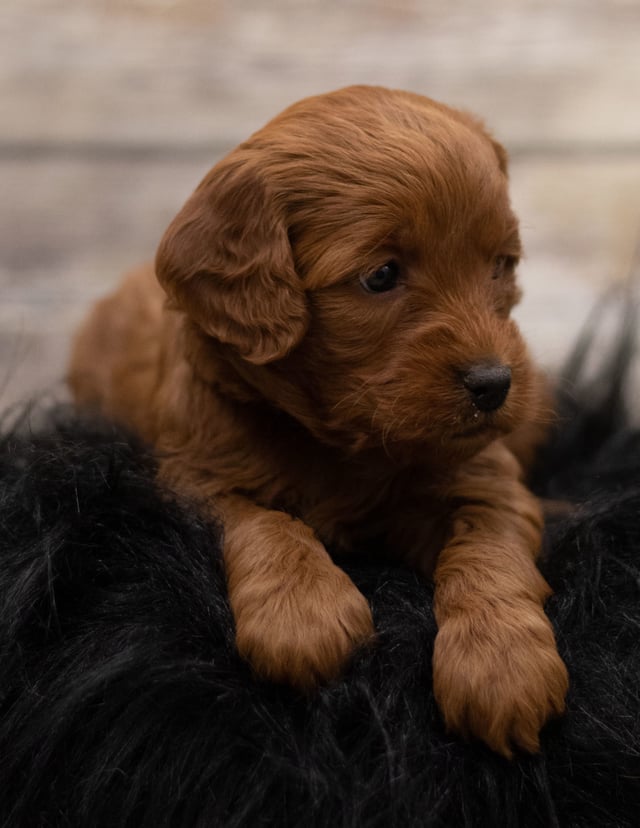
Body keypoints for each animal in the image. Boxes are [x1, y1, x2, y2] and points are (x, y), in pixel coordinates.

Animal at [70, 84, 568, 756]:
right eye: (381, 275)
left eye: (502, 265)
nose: (494, 384)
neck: (341, 443)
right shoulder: (192, 475)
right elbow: (261, 520)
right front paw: (303, 615)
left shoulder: (487, 482)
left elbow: (490, 553)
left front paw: (503, 667)